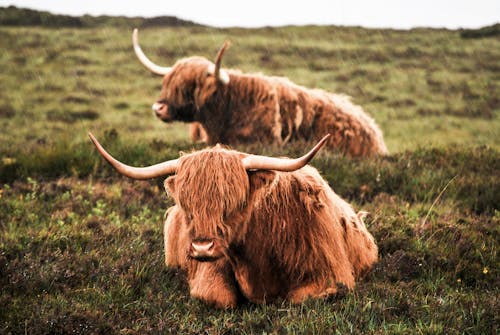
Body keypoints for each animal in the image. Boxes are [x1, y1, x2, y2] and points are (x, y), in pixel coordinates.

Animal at [91, 133, 378, 308]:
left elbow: (298, 298)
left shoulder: (330, 276)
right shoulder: (210, 271)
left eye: (232, 203)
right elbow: (219, 297)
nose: (202, 247)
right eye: (188, 206)